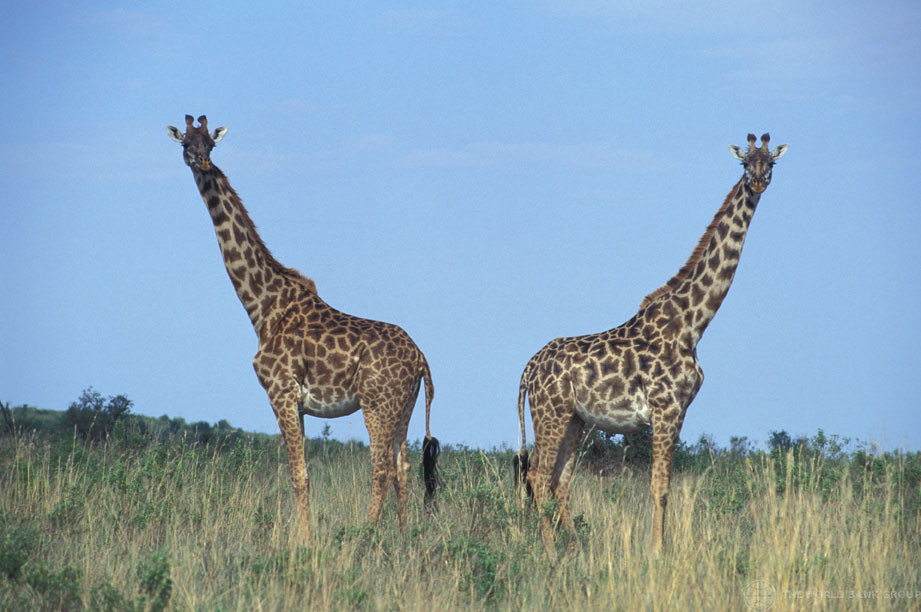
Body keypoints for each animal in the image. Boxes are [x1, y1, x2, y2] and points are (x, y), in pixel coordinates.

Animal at [166, 115, 439, 541]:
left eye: (210, 143)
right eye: (186, 143)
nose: (202, 163)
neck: (262, 308)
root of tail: (421, 358)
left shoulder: (280, 392)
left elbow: (299, 475)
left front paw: (303, 541)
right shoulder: (301, 405)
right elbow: (303, 473)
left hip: (377, 403)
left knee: (380, 468)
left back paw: (365, 536)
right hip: (404, 407)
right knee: (403, 468)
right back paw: (401, 535)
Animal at [515, 133, 787, 554]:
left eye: (770, 162)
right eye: (745, 164)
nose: (757, 183)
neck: (692, 325)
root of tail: (529, 368)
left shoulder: (680, 411)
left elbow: (665, 486)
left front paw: (658, 546)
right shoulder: (665, 408)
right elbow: (659, 487)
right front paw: (657, 551)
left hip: (575, 419)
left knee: (560, 478)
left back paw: (575, 546)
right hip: (550, 412)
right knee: (538, 475)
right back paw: (548, 549)